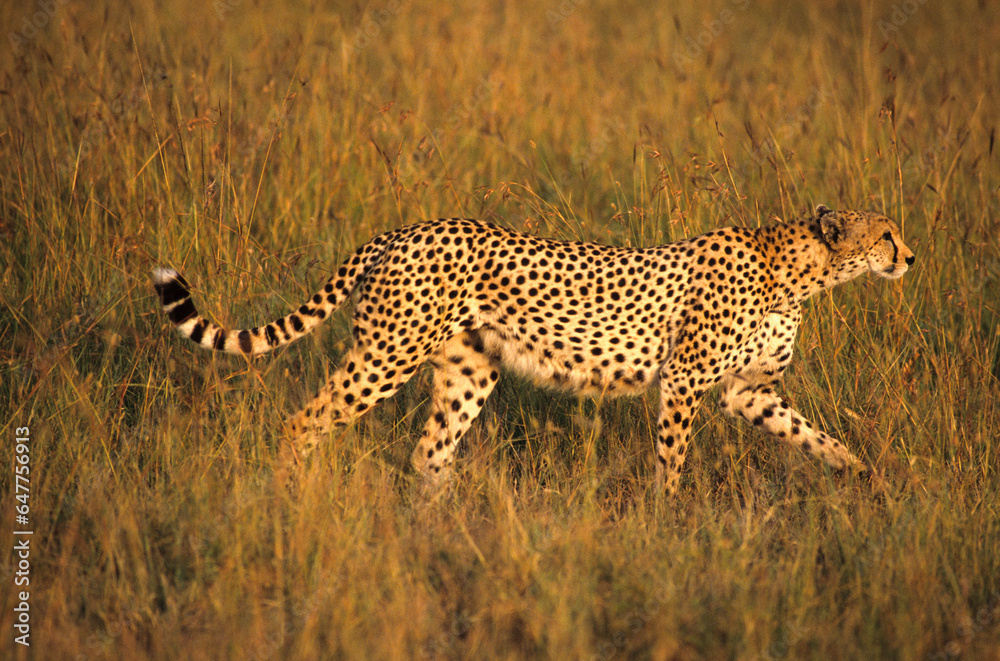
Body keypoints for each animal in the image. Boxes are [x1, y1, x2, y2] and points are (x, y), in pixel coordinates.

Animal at [153, 204, 914, 495]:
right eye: (885, 234)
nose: (910, 255)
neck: (799, 270)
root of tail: (405, 228)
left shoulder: (746, 390)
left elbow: (815, 435)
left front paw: (865, 475)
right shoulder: (685, 381)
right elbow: (672, 459)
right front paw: (673, 520)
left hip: (468, 371)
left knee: (428, 453)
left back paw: (444, 526)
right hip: (388, 355)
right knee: (304, 421)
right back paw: (287, 494)